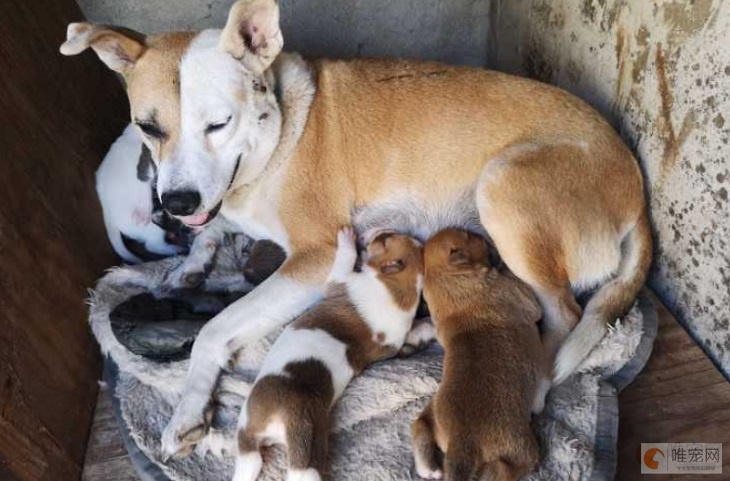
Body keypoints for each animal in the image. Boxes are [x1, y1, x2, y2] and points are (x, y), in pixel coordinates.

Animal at [233, 229, 424, 480]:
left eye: (385, 240)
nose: (375, 231)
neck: (401, 287)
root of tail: (294, 416)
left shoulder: (341, 281)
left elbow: (344, 261)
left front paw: (347, 240)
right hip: (313, 441)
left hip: (249, 420)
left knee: (249, 453)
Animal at [412, 229, 548, 480]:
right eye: (467, 236)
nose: (484, 237)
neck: (447, 280)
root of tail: (462, 441)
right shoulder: (521, 297)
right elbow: (531, 304)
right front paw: (503, 264)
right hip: (518, 448)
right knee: (504, 469)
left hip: (433, 410)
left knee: (420, 424)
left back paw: (429, 468)